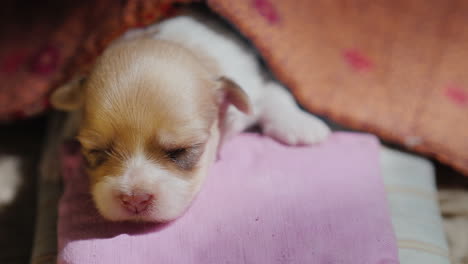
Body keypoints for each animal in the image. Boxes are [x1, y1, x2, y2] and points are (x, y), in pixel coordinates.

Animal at [50, 9, 330, 222]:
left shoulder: (251, 78)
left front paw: (301, 125)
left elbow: (274, 94)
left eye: (181, 150)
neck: (176, 43)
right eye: (96, 151)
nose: (134, 199)